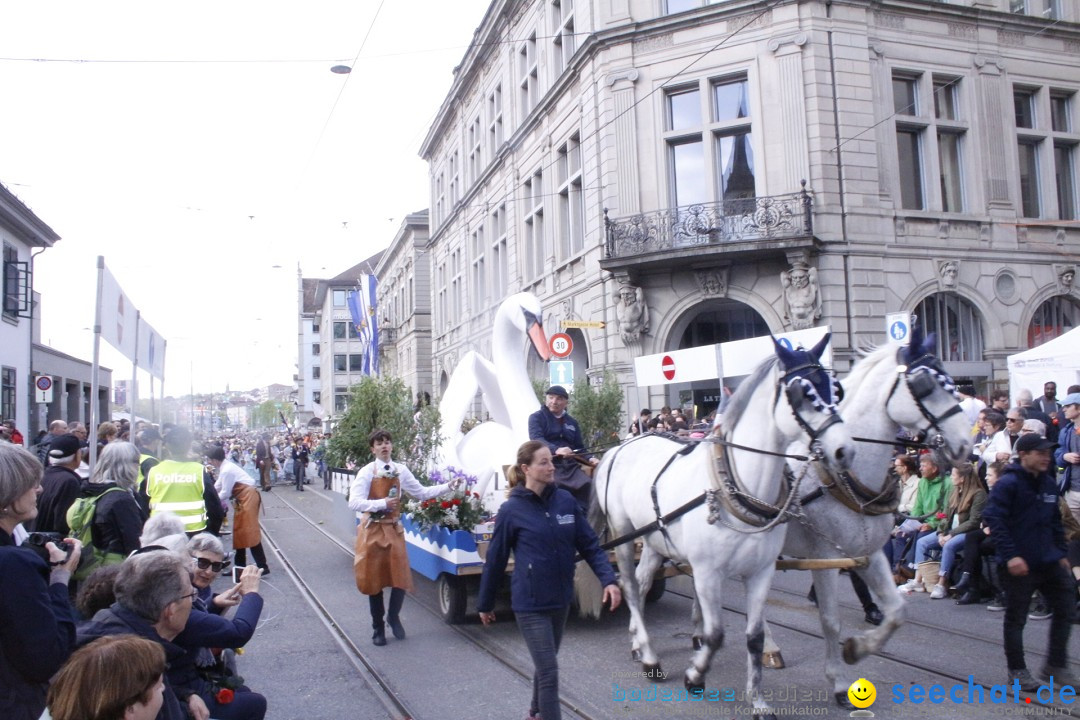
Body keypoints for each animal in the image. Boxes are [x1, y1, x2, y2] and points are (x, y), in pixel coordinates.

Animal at [591, 334, 851, 716]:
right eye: (801, 393)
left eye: (837, 389)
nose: (845, 450)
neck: (735, 488)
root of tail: (617, 449)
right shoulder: (706, 571)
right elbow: (715, 634)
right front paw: (695, 675)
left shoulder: (761, 571)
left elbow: (754, 638)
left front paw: (758, 701)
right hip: (623, 535)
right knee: (629, 587)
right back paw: (651, 658)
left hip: (654, 539)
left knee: (641, 581)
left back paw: (638, 642)